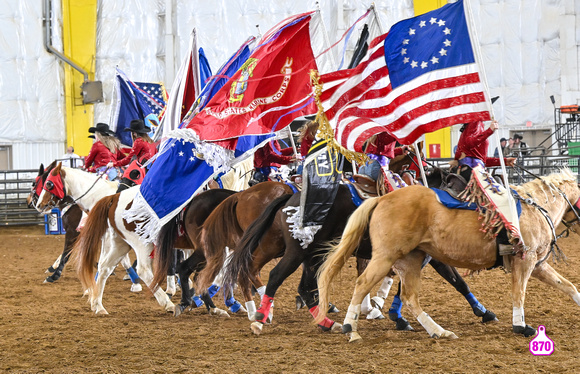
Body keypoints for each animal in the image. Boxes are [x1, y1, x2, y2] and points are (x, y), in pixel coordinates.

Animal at [224, 182, 496, 336]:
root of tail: (290, 198)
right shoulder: (429, 257)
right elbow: (458, 281)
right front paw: (483, 311)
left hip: (311, 256)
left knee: (304, 287)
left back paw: (326, 323)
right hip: (294, 252)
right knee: (272, 275)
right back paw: (259, 319)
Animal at [314, 169, 580, 342]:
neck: (534, 207)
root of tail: (382, 198)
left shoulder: (538, 264)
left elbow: (567, 286)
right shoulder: (526, 260)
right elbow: (519, 293)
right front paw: (521, 326)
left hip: (410, 260)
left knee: (410, 298)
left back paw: (438, 331)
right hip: (385, 258)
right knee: (362, 284)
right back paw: (351, 329)